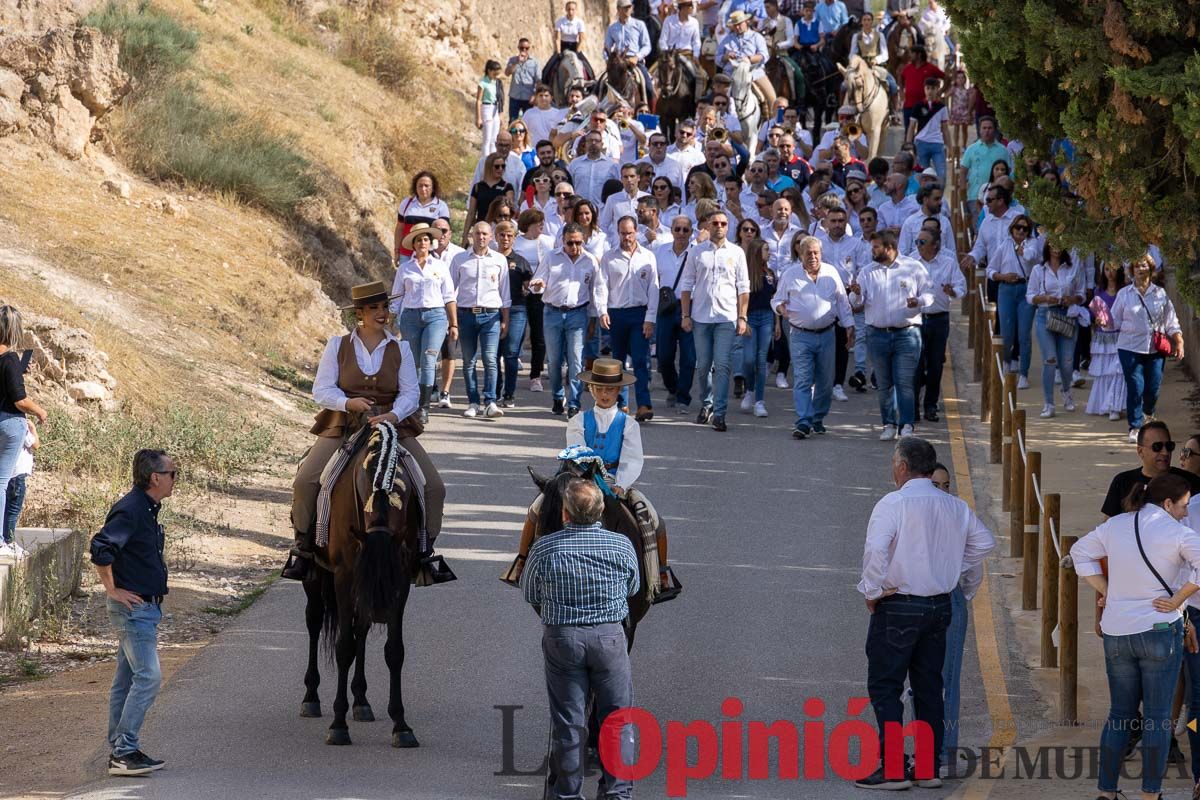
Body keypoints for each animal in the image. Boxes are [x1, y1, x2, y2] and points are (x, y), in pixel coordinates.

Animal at [300, 424, 427, 753]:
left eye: (389, 581)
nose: (381, 612)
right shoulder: (346, 576)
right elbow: (344, 648)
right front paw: (338, 725)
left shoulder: (401, 581)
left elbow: (394, 650)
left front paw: (401, 726)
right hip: (315, 577)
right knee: (315, 622)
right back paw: (311, 698)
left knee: (361, 628)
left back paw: (361, 702)